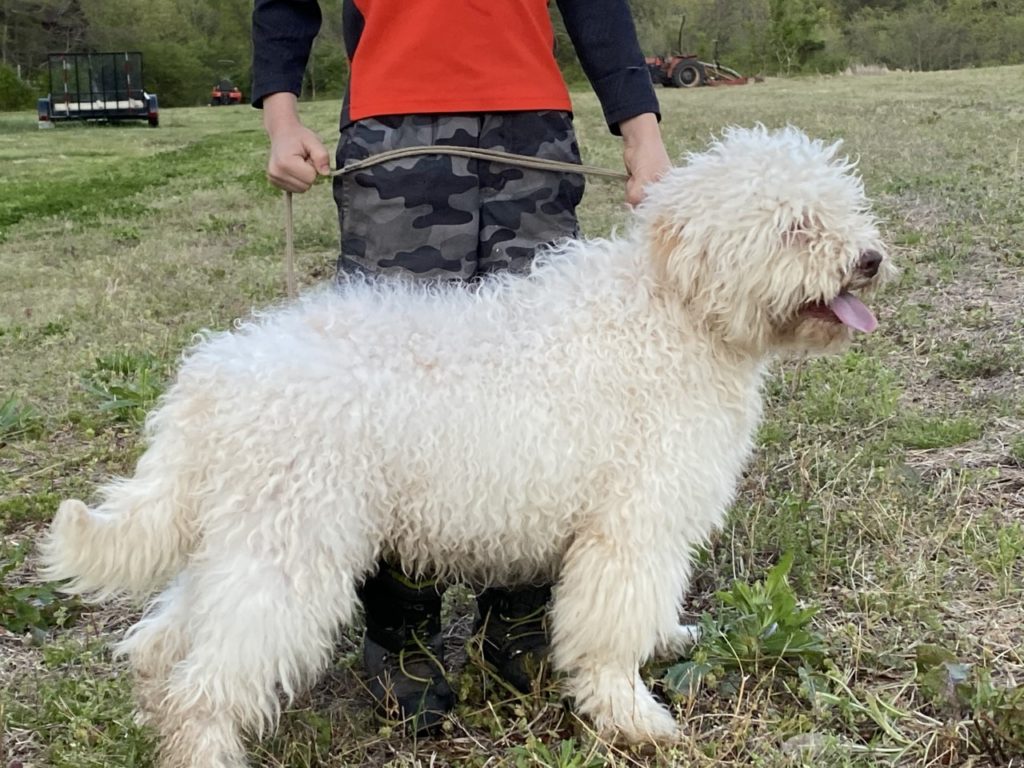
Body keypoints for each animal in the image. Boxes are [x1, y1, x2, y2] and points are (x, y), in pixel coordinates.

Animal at [37, 128, 888, 768]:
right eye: (794, 227)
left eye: (845, 209)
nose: (871, 259)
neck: (671, 311)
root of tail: (211, 378)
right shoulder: (632, 525)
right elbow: (611, 630)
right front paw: (634, 717)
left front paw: (668, 641)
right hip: (289, 554)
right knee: (208, 681)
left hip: (242, 541)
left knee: (160, 643)